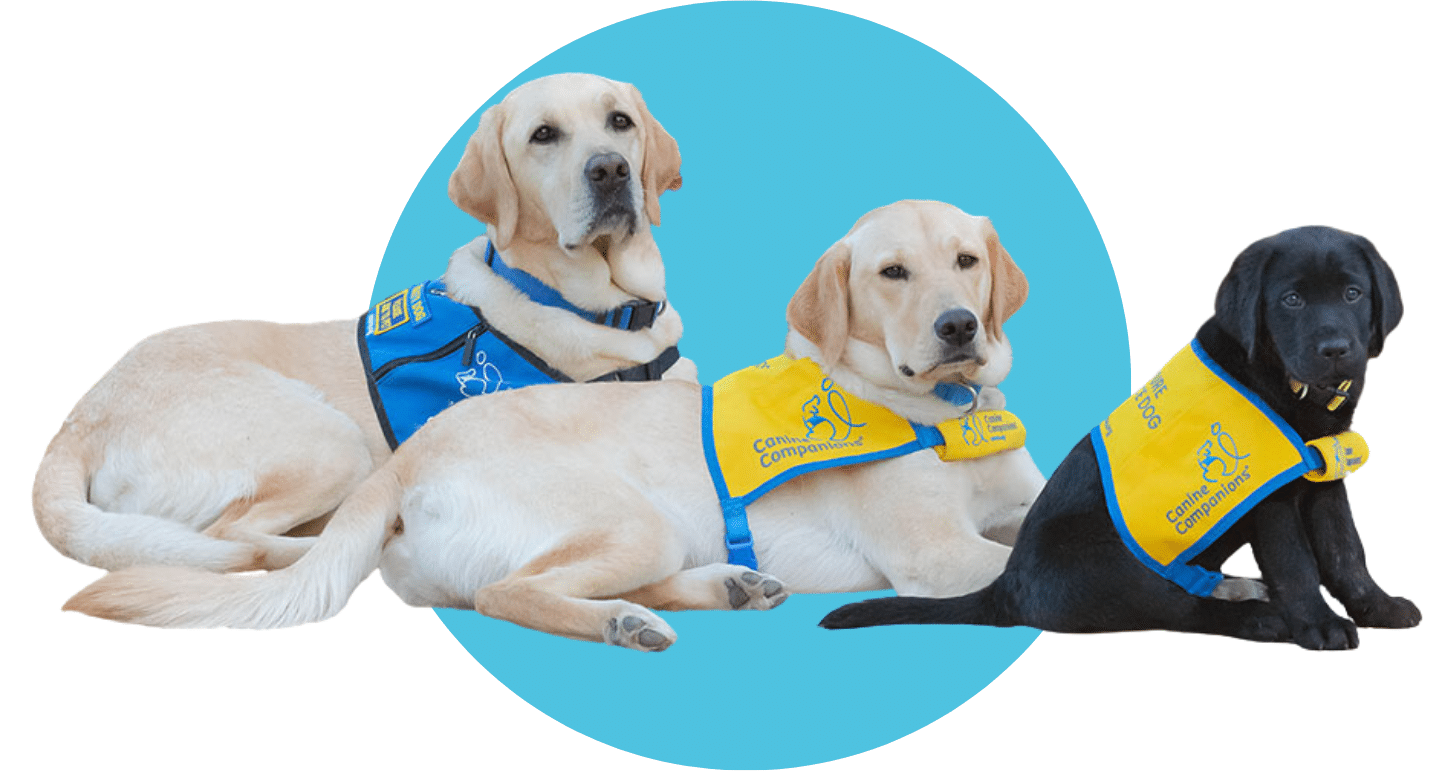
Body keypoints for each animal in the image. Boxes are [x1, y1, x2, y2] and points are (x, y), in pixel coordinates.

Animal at [34, 73, 689, 571]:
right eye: (543, 135)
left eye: (620, 122)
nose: (609, 171)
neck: (610, 314)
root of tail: (78, 419)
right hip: (328, 440)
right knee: (232, 536)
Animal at [68, 198, 1048, 649]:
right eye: (891, 273)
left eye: (966, 261)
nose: (958, 326)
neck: (951, 416)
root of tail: (407, 462)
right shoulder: (936, 554)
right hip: (623, 516)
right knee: (510, 592)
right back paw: (626, 621)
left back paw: (722, 588)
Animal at [822, 227, 1419, 649]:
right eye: (1291, 301)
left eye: (1353, 293)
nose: (1336, 349)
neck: (1289, 389)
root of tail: (1007, 588)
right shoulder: (1269, 498)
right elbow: (1297, 564)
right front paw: (1318, 625)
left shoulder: (1323, 481)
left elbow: (1346, 552)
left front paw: (1378, 606)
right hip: (1109, 563)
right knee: (1177, 608)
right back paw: (1260, 616)